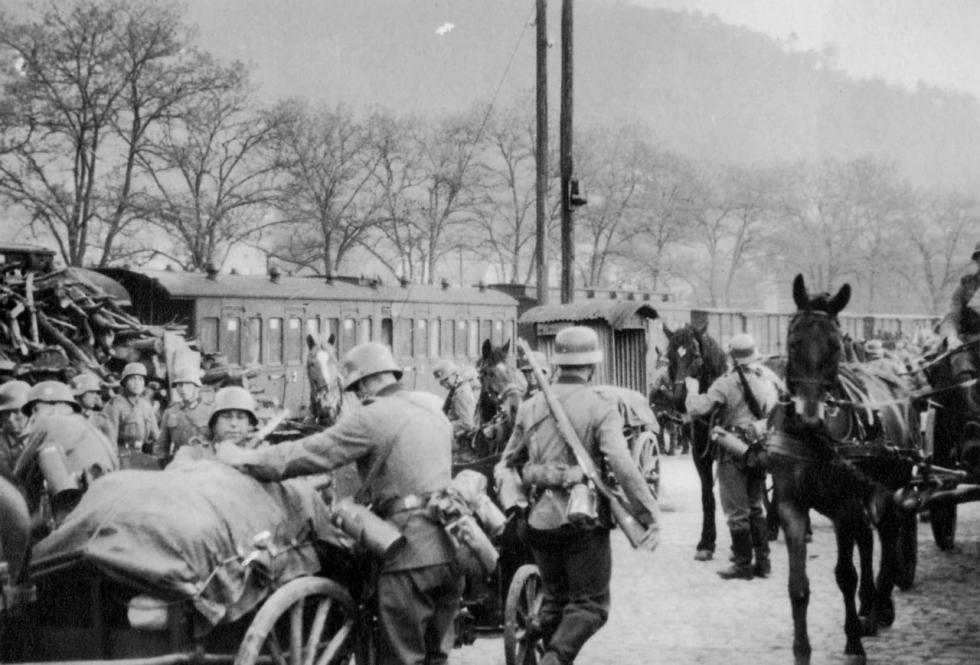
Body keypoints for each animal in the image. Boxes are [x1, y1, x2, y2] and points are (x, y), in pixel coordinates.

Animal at [663, 322, 727, 560]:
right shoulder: (700, 456)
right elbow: (707, 496)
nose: (680, 398)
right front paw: (706, 543)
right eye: (670, 358)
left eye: (697, 358)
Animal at [768, 274, 913, 665]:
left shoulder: (843, 505)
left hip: (888, 487)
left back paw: (881, 606)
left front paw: (853, 643)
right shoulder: (791, 507)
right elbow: (798, 586)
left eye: (834, 346)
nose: (809, 414)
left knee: (889, 534)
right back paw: (869, 607)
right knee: (868, 537)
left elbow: (845, 575)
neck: (812, 437)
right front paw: (801, 650)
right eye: (794, 341)